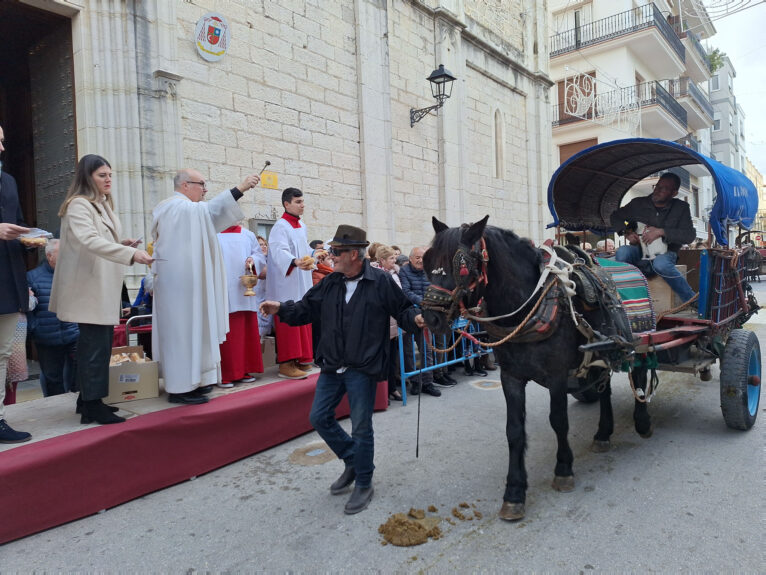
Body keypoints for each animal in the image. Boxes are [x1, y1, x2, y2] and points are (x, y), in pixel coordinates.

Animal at [424, 216, 652, 520]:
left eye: (461, 265)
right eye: (427, 261)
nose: (429, 317)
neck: (527, 306)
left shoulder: (557, 375)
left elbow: (559, 420)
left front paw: (564, 469)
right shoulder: (510, 376)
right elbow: (514, 430)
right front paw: (514, 491)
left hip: (641, 342)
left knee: (639, 375)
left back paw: (643, 422)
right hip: (601, 352)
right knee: (604, 388)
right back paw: (603, 433)